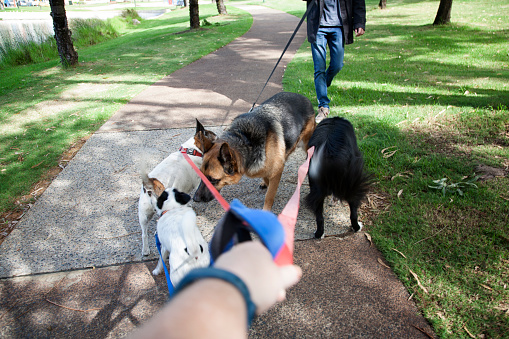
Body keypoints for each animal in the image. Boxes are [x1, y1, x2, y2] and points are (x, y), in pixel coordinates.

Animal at [138, 121, 215, 256]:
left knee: (144, 234)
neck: (191, 151)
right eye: (211, 136)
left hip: (143, 214)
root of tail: (151, 184)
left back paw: (146, 250)